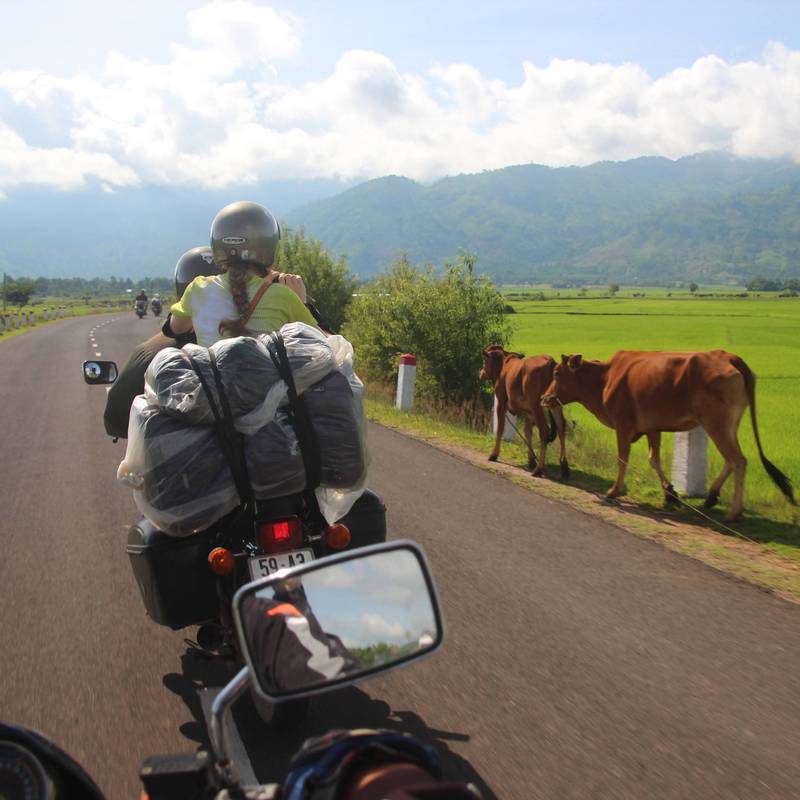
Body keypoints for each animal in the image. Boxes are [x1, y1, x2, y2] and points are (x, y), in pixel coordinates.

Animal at [482, 346, 568, 478]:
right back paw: (564, 468)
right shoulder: (528, 412)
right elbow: (528, 432)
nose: (481, 372)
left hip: (537, 406)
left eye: (484, 361)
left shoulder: (501, 403)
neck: (503, 364)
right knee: (561, 428)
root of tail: (550, 361)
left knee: (544, 430)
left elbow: (500, 429)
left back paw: (539, 469)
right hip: (554, 404)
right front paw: (531, 460)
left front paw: (494, 454)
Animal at [536, 350, 792, 520]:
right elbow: (654, 459)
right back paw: (711, 496)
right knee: (732, 459)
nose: (545, 398)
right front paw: (670, 493)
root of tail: (729, 357)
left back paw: (734, 512)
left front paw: (614, 490)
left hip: (717, 424)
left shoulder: (623, 426)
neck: (604, 379)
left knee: (738, 460)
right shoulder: (652, 428)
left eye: (557, 373)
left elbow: (622, 459)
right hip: (728, 426)